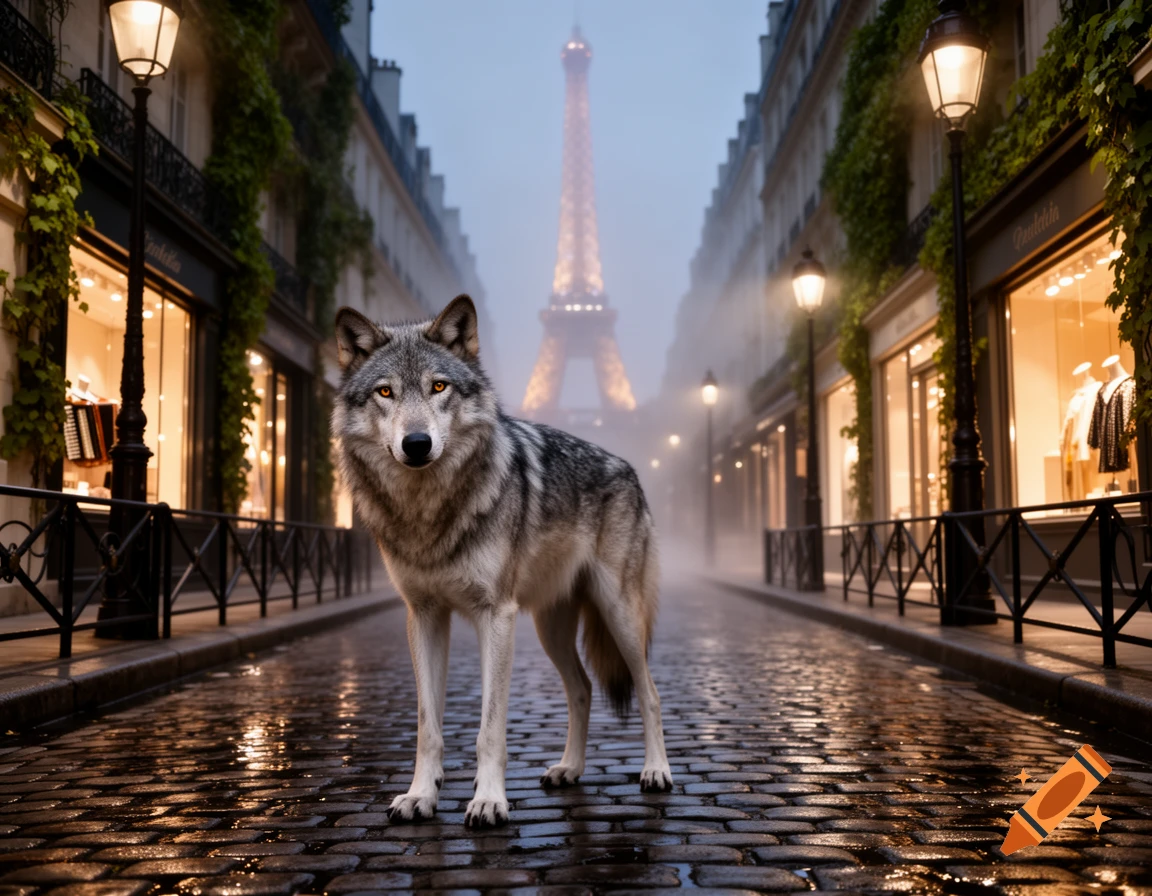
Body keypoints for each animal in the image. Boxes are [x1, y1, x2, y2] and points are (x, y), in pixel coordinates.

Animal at [332, 294, 672, 829]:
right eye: (385, 392)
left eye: (439, 386)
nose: (416, 444)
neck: (428, 511)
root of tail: (630, 469)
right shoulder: (424, 617)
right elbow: (427, 726)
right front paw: (420, 795)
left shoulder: (496, 616)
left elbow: (490, 728)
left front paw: (489, 800)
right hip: (550, 629)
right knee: (582, 689)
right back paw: (570, 768)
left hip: (618, 615)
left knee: (650, 692)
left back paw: (656, 771)